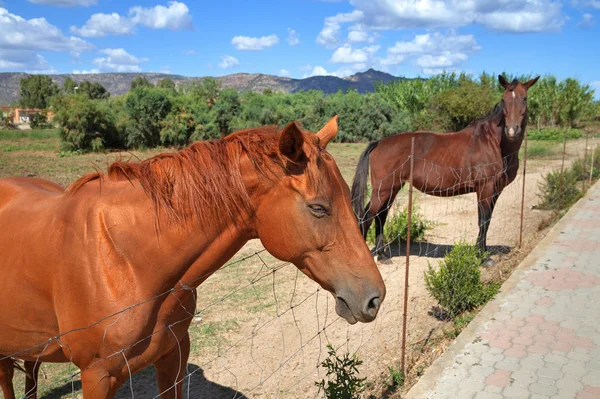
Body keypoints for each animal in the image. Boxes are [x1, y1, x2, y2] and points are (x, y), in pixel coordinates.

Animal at [352, 76, 540, 262]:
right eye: (503, 99)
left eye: (525, 98)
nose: (512, 131)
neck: (492, 141)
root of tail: (379, 143)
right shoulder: (485, 188)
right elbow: (483, 220)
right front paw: (482, 258)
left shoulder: (496, 190)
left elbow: (487, 221)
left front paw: (482, 252)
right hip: (383, 189)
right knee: (367, 216)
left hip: (392, 188)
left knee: (380, 216)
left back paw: (383, 255)